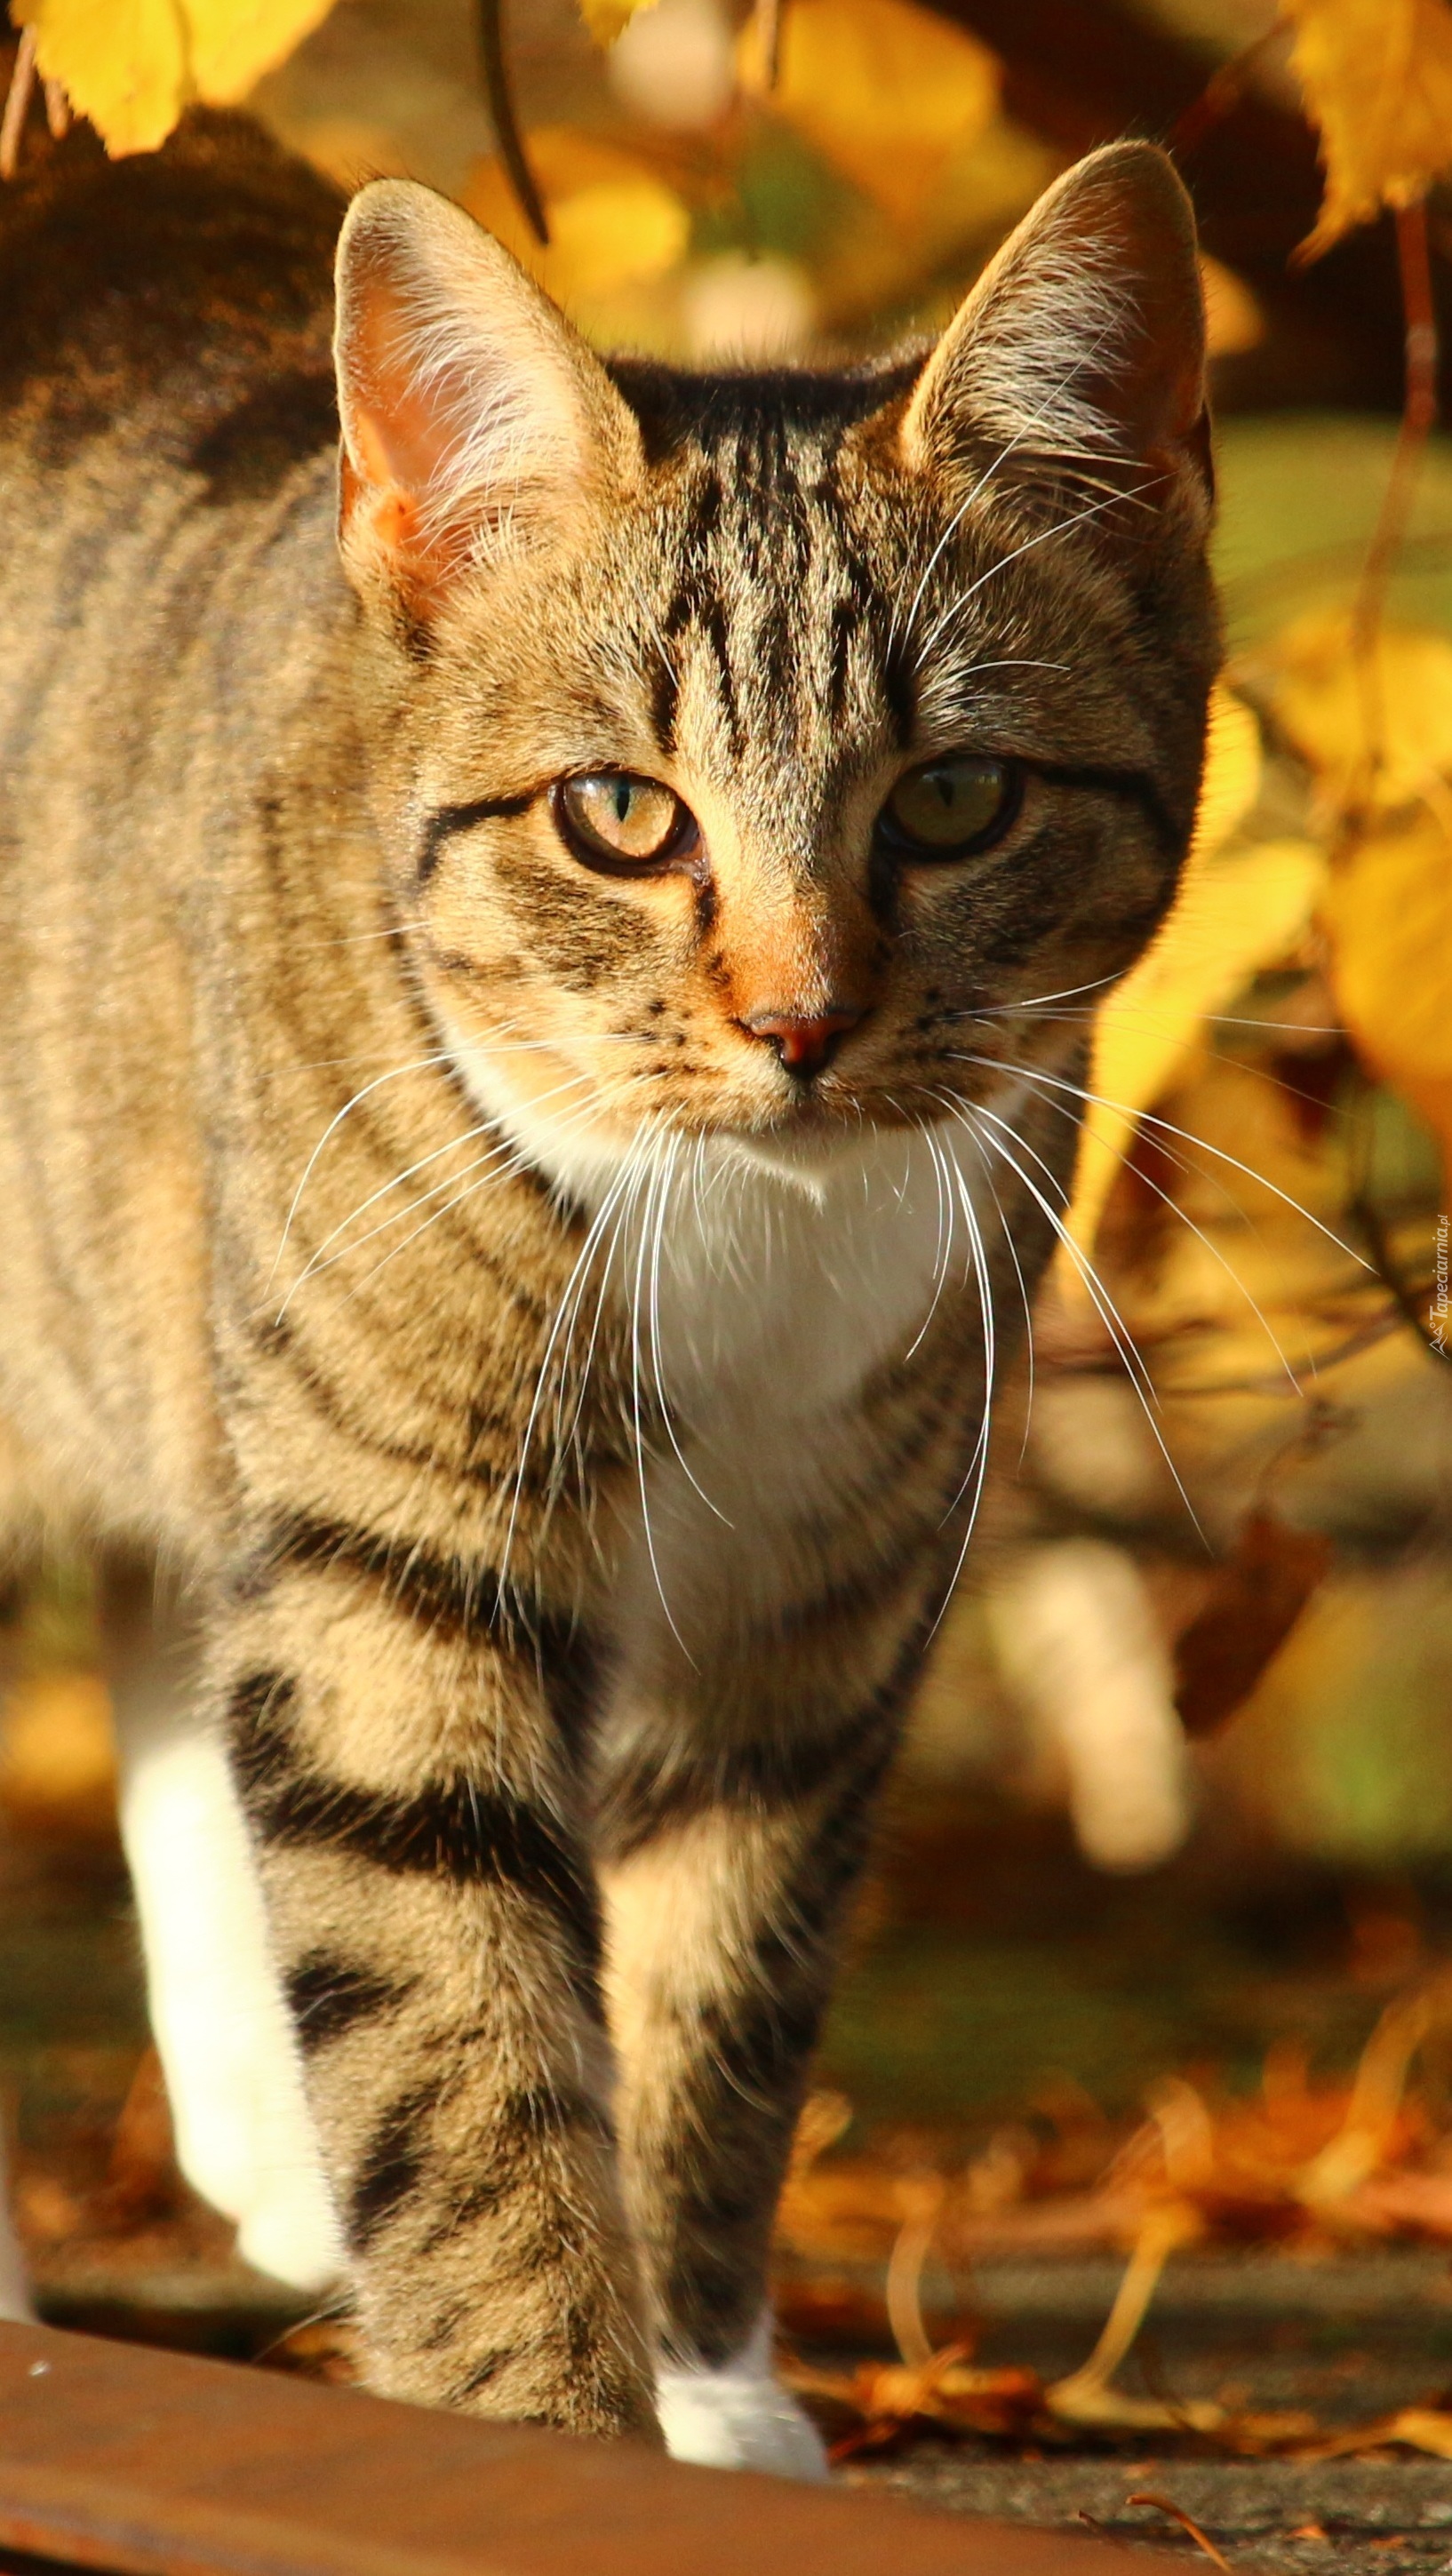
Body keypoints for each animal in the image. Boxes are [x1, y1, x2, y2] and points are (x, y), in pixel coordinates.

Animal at [0, 110, 1220, 2462]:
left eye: (954, 798)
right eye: (617, 819)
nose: (800, 1022)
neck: (743, 1232)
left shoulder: (824, 1604)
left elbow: (717, 1979)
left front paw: (700, 2388)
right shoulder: (397, 1547)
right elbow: (456, 2020)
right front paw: (540, 2422)